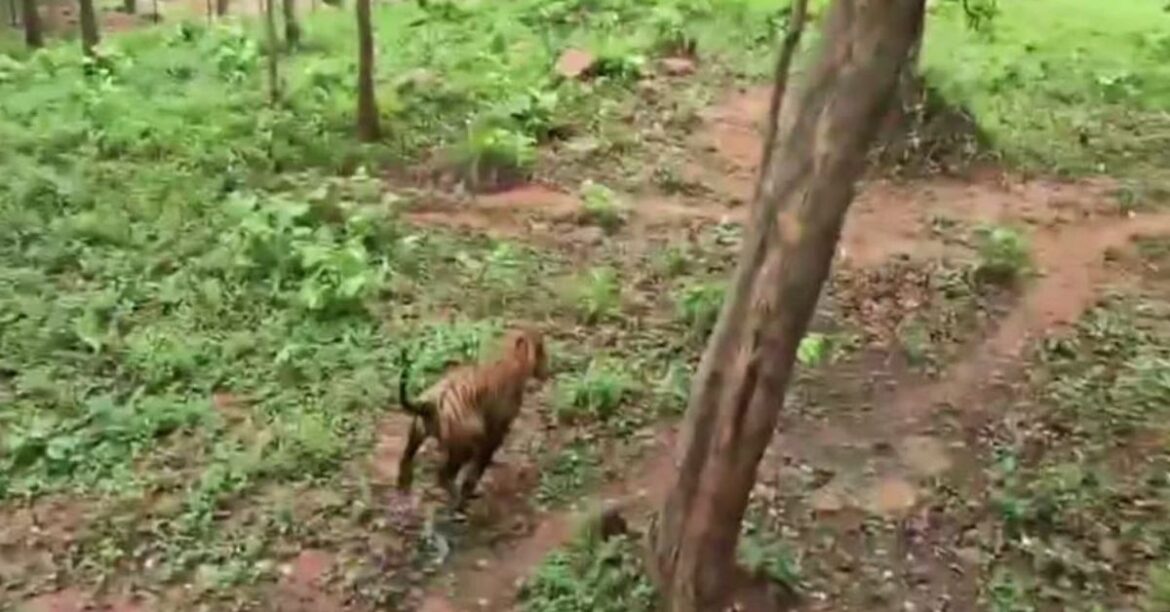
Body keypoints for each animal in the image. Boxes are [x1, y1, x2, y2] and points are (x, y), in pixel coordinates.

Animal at [396, 326, 549, 509]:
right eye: (541, 349)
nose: (548, 372)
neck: (509, 357)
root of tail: (431, 406)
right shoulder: (494, 432)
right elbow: (477, 468)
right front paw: (469, 490)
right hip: (464, 445)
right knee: (443, 475)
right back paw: (457, 500)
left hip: (416, 434)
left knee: (406, 460)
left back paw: (404, 487)